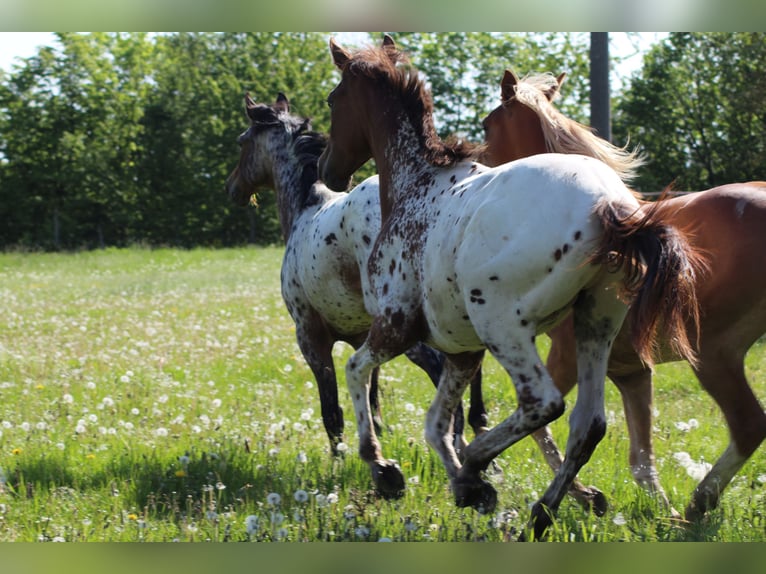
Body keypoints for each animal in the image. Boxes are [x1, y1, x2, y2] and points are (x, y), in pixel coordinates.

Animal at [225, 94, 486, 462]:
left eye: (242, 141)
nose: (231, 187)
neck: (306, 208)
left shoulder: (310, 336)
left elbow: (332, 411)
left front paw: (339, 461)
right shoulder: (363, 336)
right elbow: (372, 398)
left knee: (445, 376)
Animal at [484, 68, 766, 528]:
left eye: (487, 126)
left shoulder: (567, 356)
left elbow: (544, 427)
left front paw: (581, 497)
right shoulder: (632, 371)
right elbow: (641, 459)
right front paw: (658, 511)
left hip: (713, 353)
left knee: (748, 424)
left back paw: (700, 501)